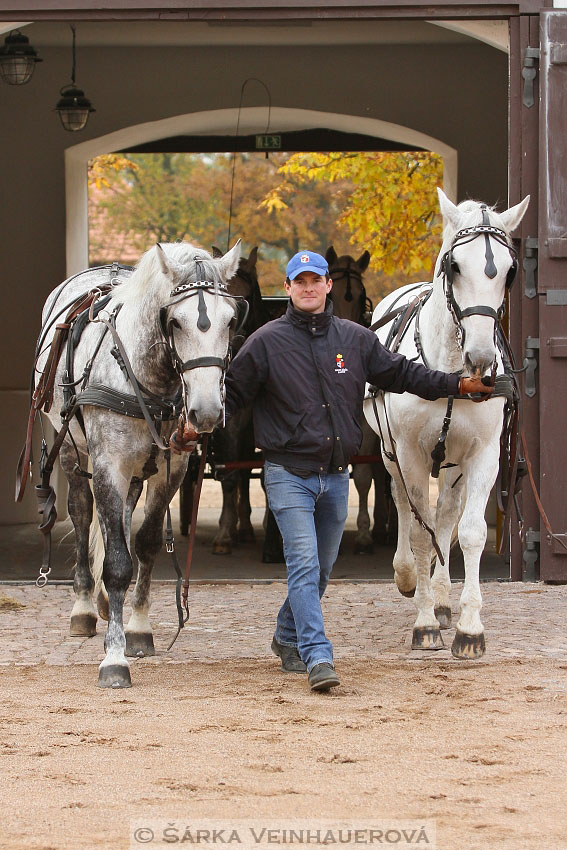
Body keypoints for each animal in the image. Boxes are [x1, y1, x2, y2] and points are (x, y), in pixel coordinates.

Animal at [31, 238, 242, 684]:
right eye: (174, 321)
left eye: (231, 320)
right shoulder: (108, 464)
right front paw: (114, 658)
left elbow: (144, 545)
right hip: (74, 454)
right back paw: (84, 606)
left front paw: (139, 629)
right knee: (82, 516)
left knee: (122, 519)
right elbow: (115, 562)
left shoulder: (171, 470)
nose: (206, 412)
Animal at [366, 190, 532, 656]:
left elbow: (470, 530)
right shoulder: (409, 453)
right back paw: (410, 578)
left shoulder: (484, 454)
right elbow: (420, 532)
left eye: (510, 272)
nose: (481, 358)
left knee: (446, 514)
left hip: (454, 461)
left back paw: (442, 600)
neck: (452, 371)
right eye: (453, 265)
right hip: (392, 453)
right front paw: (424, 623)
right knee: (406, 506)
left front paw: (469, 627)